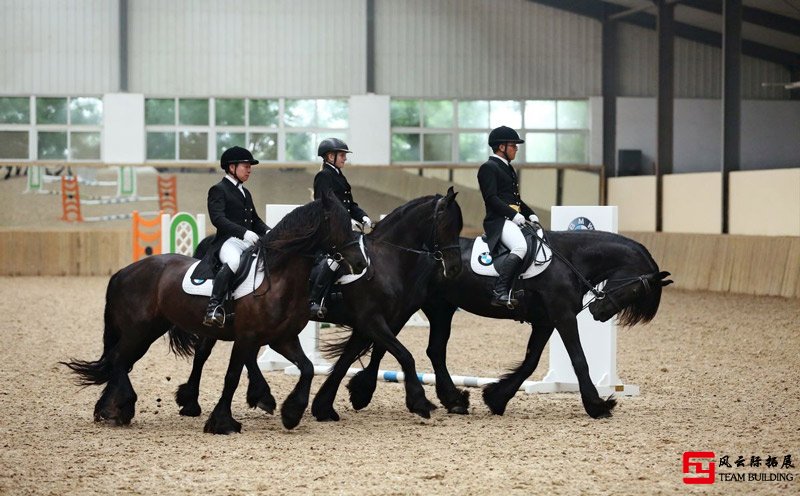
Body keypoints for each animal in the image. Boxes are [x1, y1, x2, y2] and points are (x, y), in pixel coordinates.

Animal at [62, 194, 366, 434]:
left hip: (148, 331)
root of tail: (123, 272)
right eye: (337, 223)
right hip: (138, 331)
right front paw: (222, 422)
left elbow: (307, 368)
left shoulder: (282, 339)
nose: (361, 264)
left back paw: (110, 409)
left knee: (120, 361)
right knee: (118, 360)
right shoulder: (247, 337)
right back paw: (121, 407)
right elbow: (232, 376)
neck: (277, 277)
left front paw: (291, 413)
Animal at [173, 188, 462, 420]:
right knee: (205, 352)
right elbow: (403, 355)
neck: (386, 259)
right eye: (447, 225)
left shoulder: (378, 321)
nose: (455, 268)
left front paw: (330, 403)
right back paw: (192, 402)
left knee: (244, 353)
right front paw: (420, 401)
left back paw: (258, 395)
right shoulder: (372, 320)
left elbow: (350, 359)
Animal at [334, 229, 672, 418]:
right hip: (408, 306)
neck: (570, 259)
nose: (600, 312)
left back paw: (454, 401)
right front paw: (598, 406)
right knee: (382, 343)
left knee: (430, 350)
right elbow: (578, 359)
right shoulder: (562, 315)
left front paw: (496, 397)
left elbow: (531, 361)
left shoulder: (545, 320)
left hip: (441, 309)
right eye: (636, 289)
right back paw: (363, 393)